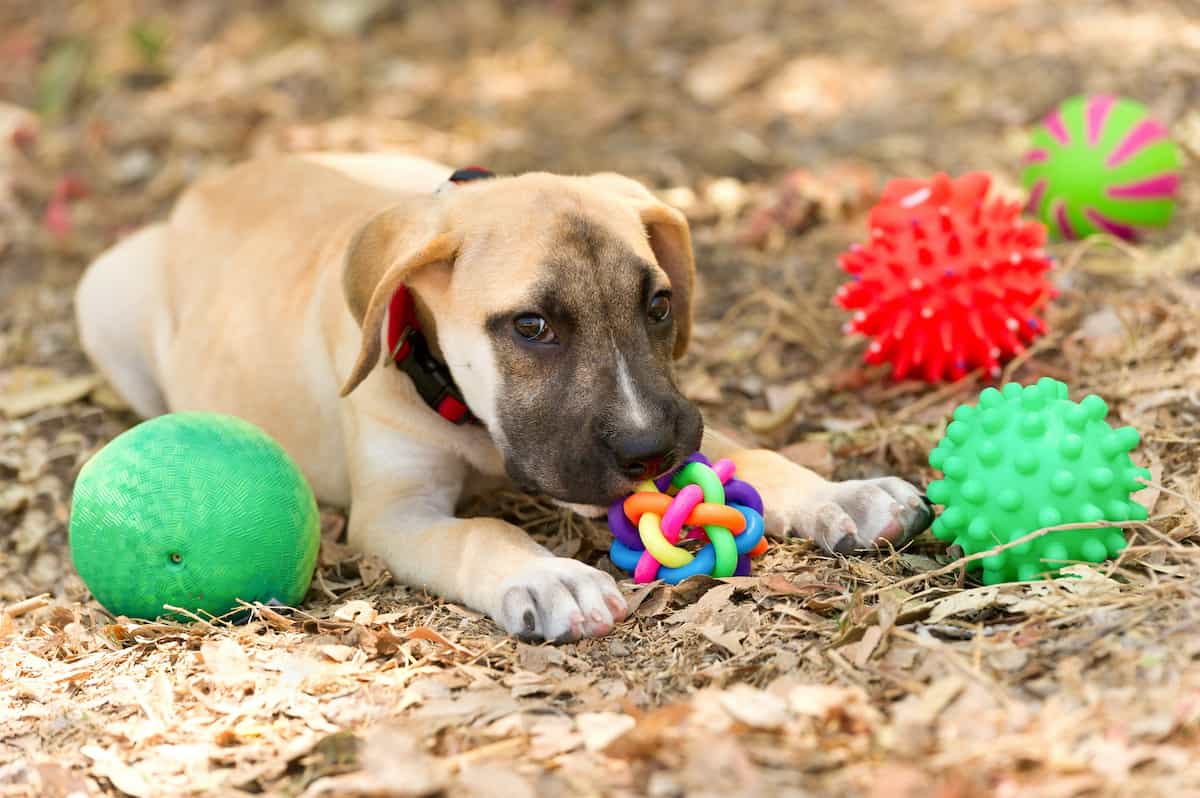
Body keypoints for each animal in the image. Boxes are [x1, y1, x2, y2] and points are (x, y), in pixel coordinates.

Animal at [75, 153, 931, 643]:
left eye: (659, 304)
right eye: (531, 327)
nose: (650, 451)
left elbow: (753, 453)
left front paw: (842, 493)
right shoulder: (394, 513)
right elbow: (480, 532)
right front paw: (550, 578)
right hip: (103, 293)